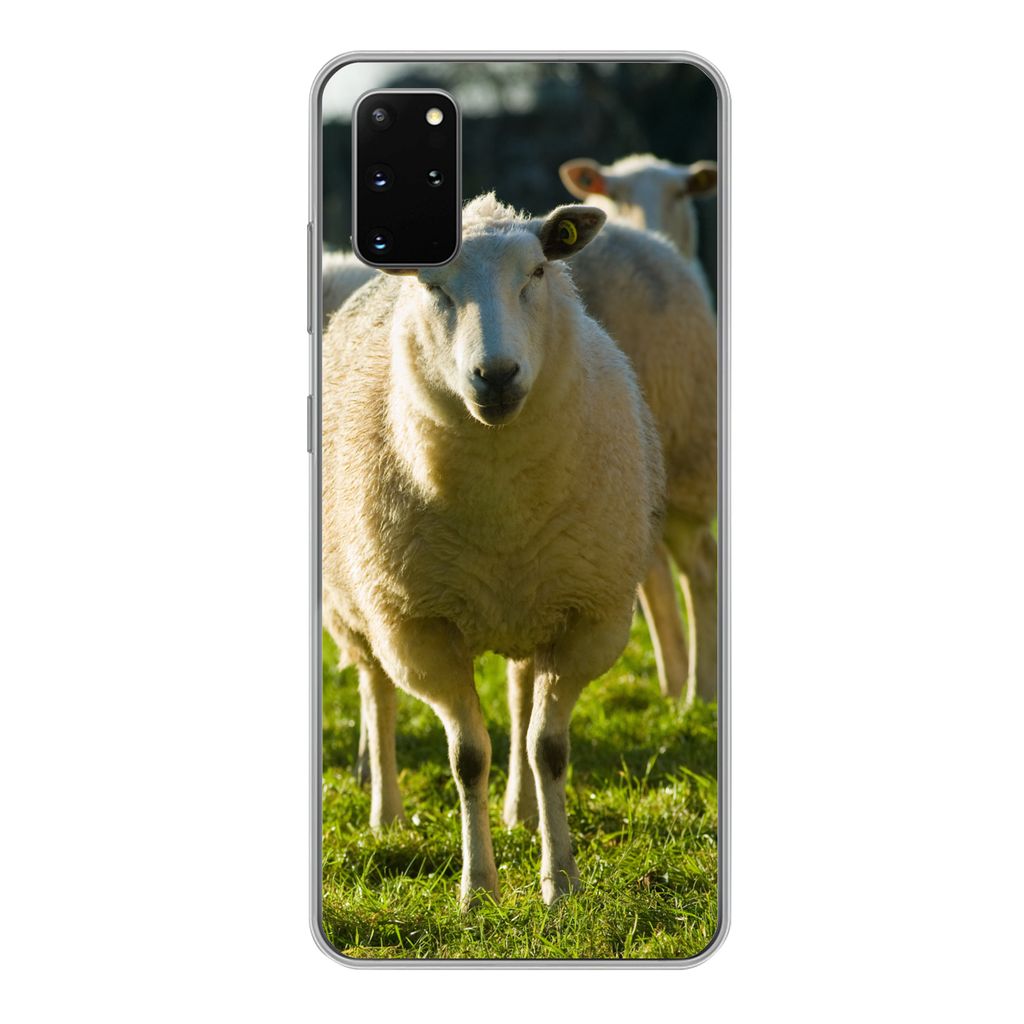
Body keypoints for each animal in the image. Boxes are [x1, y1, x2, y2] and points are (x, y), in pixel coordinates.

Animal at [322, 194, 664, 908]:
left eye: (537, 271)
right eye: (432, 286)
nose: (497, 376)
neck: (501, 500)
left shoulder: (588, 617)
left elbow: (547, 748)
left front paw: (560, 883)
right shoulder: (420, 629)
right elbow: (466, 757)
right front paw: (478, 888)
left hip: (533, 602)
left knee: (518, 697)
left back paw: (522, 812)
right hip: (360, 605)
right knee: (377, 694)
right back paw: (386, 813)